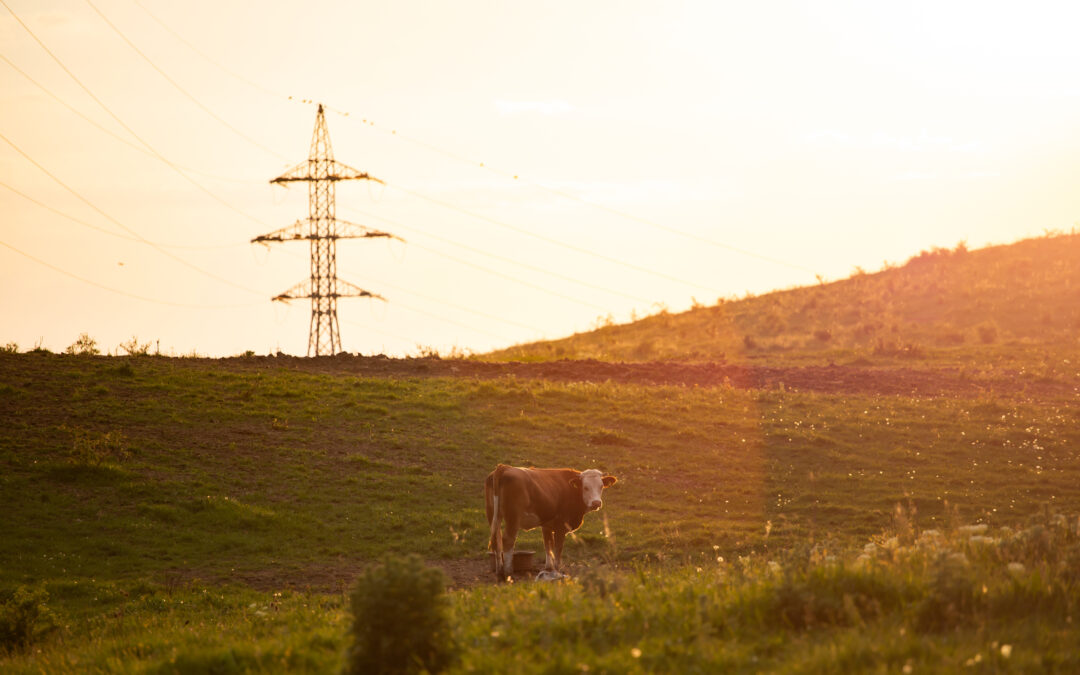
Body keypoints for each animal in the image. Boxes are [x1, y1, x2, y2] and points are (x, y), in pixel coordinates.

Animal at [483, 462, 617, 578]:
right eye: (585, 487)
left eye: (601, 486)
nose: (596, 503)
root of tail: (505, 467)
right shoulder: (561, 526)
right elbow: (557, 548)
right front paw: (557, 570)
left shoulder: (546, 525)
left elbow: (548, 545)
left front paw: (549, 568)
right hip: (513, 518)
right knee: (508, 540)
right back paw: (508, 573)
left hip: (493, 515)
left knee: (497, 539)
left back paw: (499, 571)